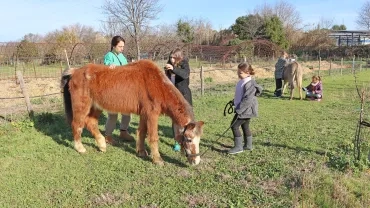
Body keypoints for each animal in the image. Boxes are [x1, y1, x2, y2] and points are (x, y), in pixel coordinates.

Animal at [61, 59, 205, 165]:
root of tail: (74, 72)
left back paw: (102, 145)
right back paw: (80, 148)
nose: (196, 161)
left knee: (90, 123)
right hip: (82, 107)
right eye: (189, 139)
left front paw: (141, 152)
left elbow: (142, 132)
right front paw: (157, 159)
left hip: (96, 107)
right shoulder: (152, 115)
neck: (157, 84)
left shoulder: (144, 114)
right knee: (77, 124)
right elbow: (153, 137)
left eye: (199, 139)